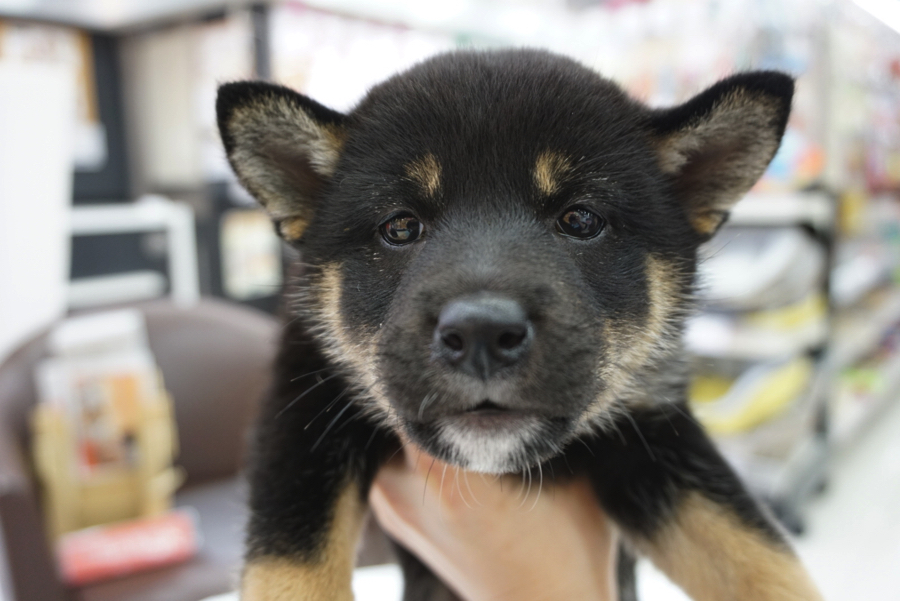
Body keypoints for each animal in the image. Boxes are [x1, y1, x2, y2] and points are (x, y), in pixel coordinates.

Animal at [218, 49, 824, 596]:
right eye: (401, 226)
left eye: (581, 219)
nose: (481, 334)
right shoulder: (302, 408)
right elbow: (291, 568)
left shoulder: (655, 434)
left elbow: (758, 553)